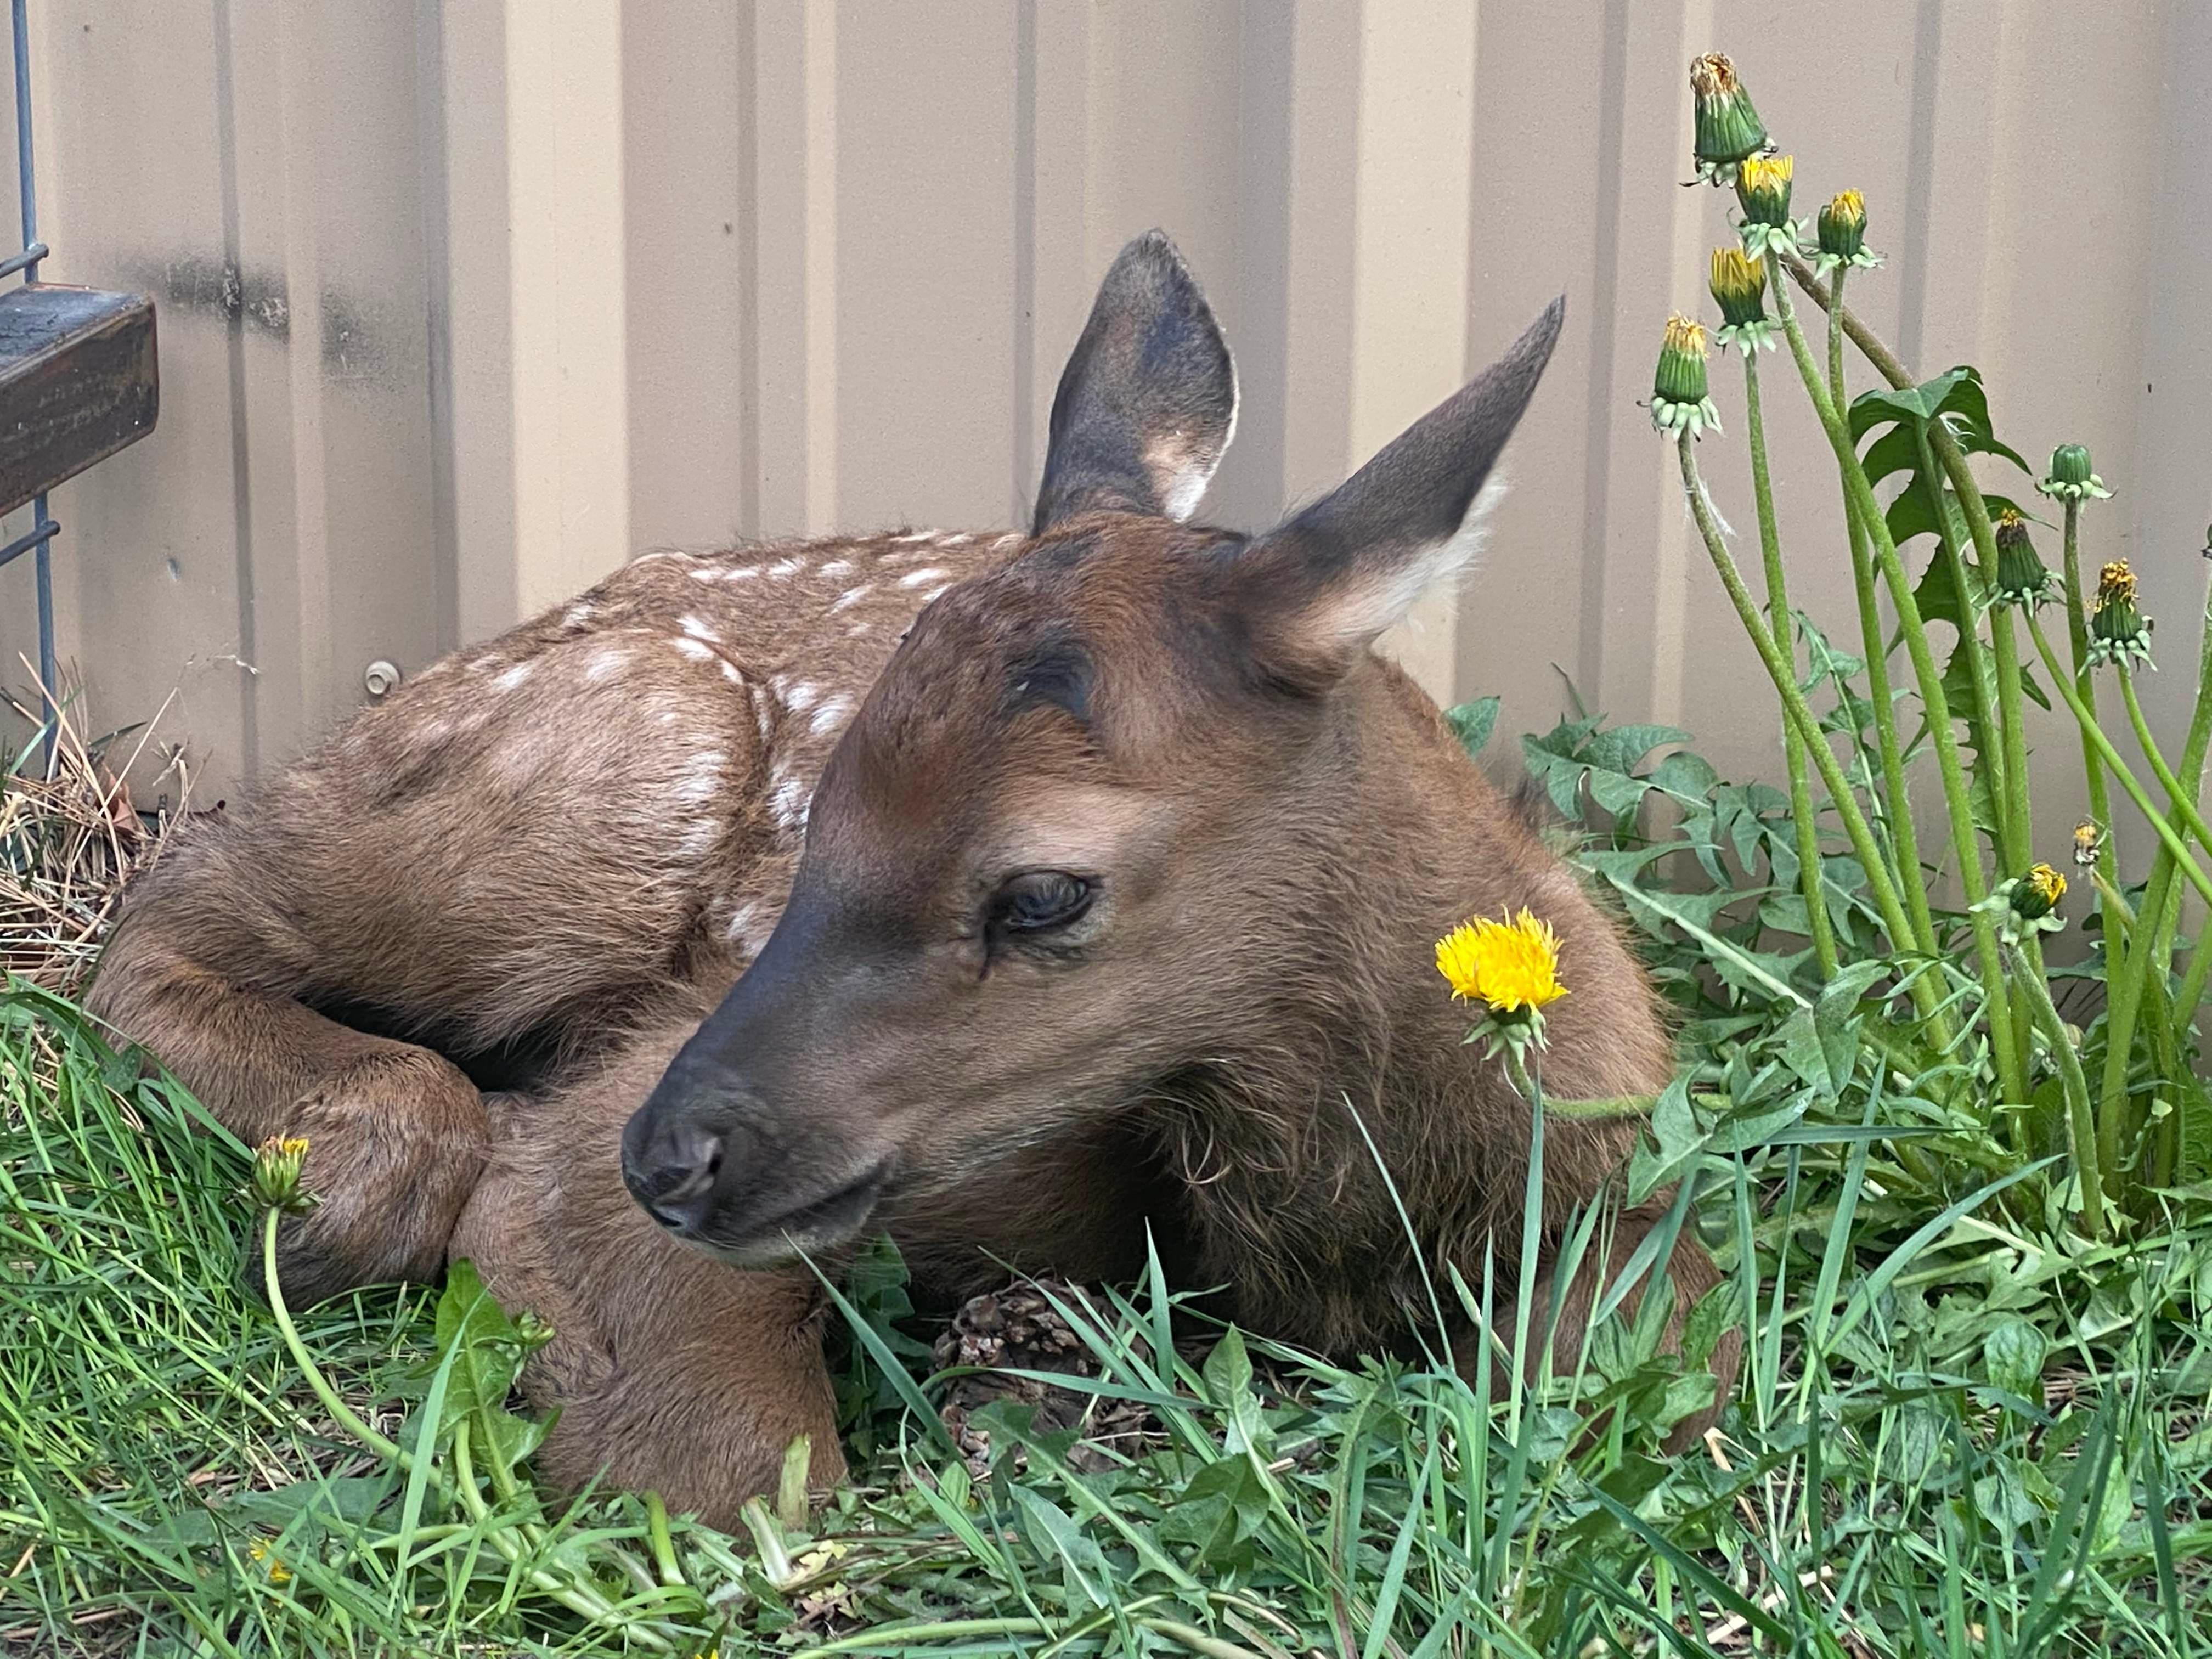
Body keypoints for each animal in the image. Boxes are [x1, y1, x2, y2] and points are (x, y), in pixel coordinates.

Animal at [95, 234, 1734, 1531]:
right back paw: (352, 1174)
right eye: (824, 820)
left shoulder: (1632, 1213)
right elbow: (754, 1480)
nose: (668, 1156)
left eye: (1045, 892)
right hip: (631, 763)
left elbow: (1678, 1385)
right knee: (169, 904)